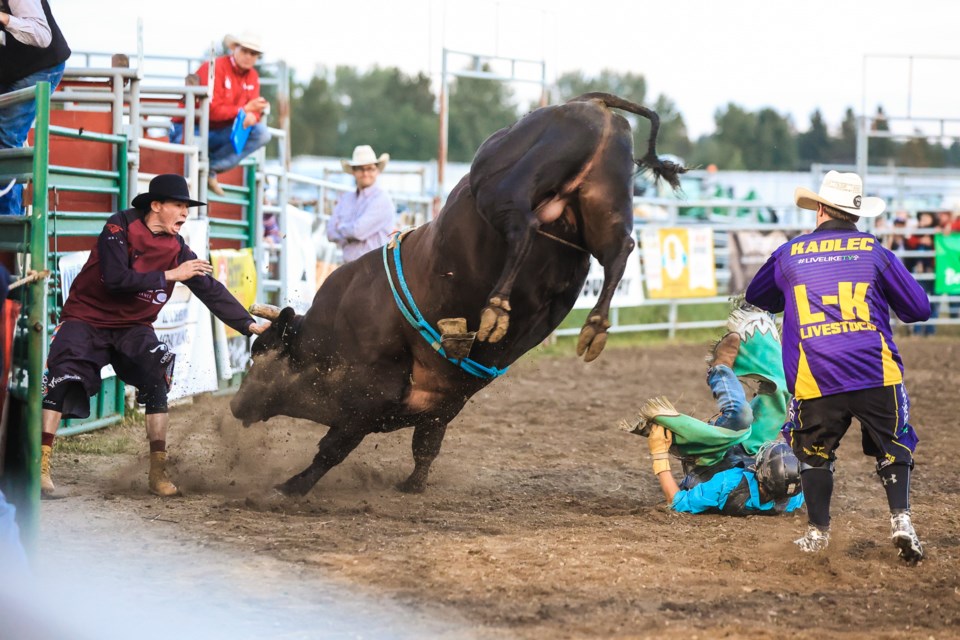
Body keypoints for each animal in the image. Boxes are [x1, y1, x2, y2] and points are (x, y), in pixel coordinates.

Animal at [231, 94, 684, 496]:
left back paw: (497, 311)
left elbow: (333, 449)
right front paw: (412, 485)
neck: (328, 331)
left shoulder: (367, 400)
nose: (235, 406)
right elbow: (424, 448)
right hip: (604, 206)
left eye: (259, 353)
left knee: (524, 227)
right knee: (619, 249)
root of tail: (592, 106)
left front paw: (289, 487)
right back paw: (594, 327)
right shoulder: (442, 406)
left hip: (501, 188)